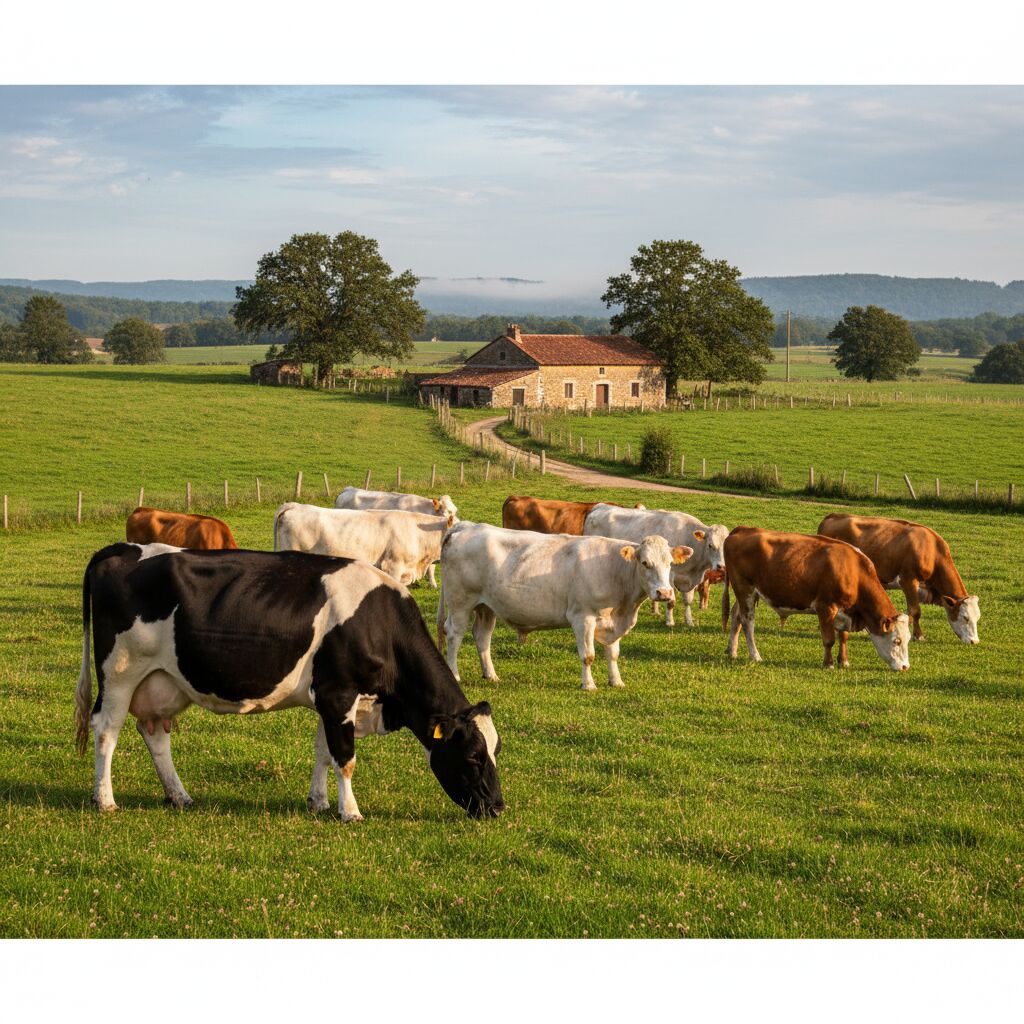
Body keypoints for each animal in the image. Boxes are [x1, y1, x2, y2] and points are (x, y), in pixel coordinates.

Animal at [74, 544, 503, 820]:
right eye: (473, 756)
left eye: (497, 751)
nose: (498, 808)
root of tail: (119, 548)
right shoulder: (338, 695)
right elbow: (345, 758)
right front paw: (350, 811)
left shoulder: (333, 700)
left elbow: (323, 752)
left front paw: (320, 802)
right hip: (120, 672)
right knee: (106, 730)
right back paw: (105, 800)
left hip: (162, 682)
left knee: (155, 734)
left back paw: (179, 796)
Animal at [437, 522, 691, 690]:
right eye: (645, 563)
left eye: (670, 563)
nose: (664, 593)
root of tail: (464, 527)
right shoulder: (582, 617)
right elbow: (588, 655)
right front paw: (588, 685)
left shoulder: (613, 621)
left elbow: (613, 654)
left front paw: (616, 681)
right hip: (460, 602)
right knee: (454, 634)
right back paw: (455, 675)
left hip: (486, 607)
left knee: (482, 637)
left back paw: (491, 675)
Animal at [583, 504, 729, 627]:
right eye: (710, 545)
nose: (722, 566)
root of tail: (600, 507)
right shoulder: (670, 575)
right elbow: (671, 601)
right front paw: (670, 621)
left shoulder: (689, 578)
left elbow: (688, 600)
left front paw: (689, 621)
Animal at [721, 526, 911, 671]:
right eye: (897, 640)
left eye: (908, 639)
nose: (905, 667)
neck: (855, 573)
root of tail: (742, 529)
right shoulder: (825, 607)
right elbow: (829, 639)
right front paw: (829, 664)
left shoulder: (845, 611)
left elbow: (843, 637)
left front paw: (844, 661)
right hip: (745, 590)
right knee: (747, 621)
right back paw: (755, 655)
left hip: (745, 593)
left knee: (736, 616)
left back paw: (732, 651)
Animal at [817, 513, 980, 644]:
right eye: (965, 617)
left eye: (977, 617)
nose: (974, 641)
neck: (932, 551)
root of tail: (833, 516)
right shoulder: (908, 580)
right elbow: (915, 611)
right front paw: (919, 636)